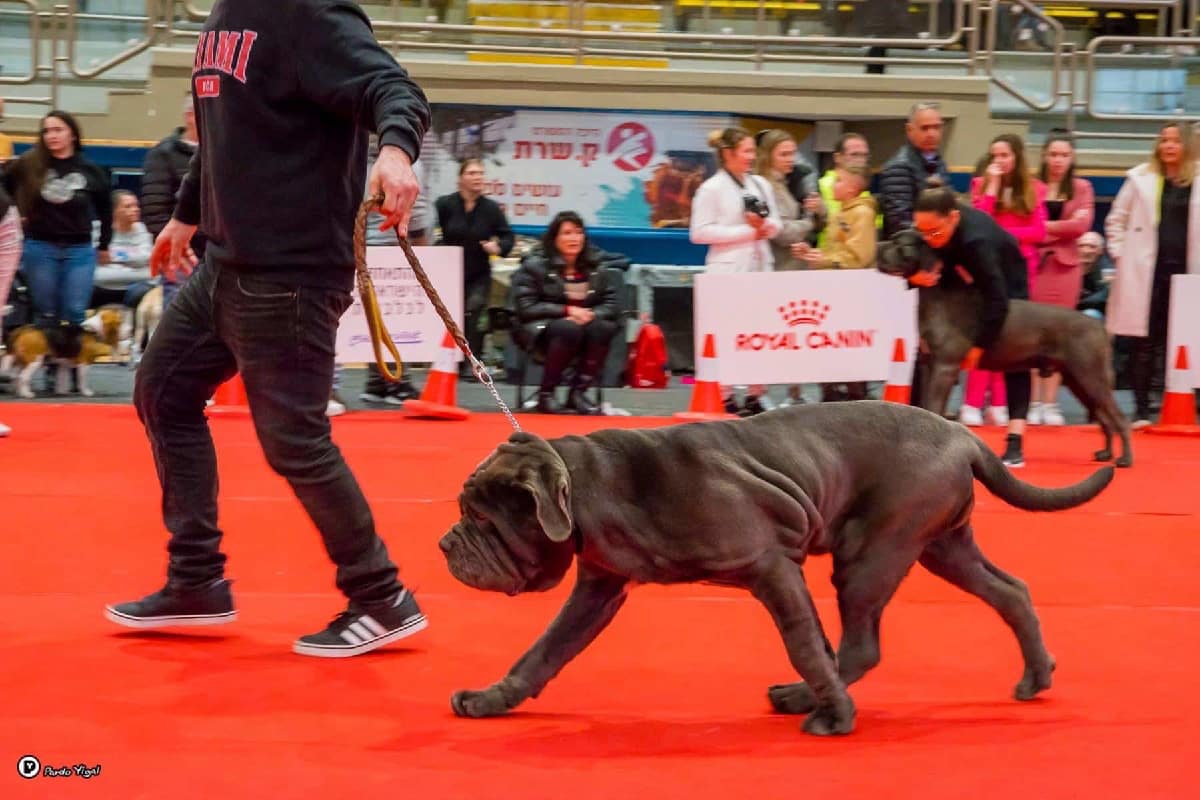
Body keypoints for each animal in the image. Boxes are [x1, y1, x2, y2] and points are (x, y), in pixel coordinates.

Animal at [441, 402, 1113, 734]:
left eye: (480, 515)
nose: (446, 543)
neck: (593, 490)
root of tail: (963, 435)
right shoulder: (598, 589)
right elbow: (544, 651)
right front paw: (492, 699)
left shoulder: (770, 566)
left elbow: (807, 644)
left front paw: (836, 714)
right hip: (941, 544)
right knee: (1009, 590)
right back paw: (1035, 676)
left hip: (874, 550)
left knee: (861, 643)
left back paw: (812, 702)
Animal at [878, 226, 1128, 470]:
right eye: (893, 237)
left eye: (900, 243)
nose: (878, 246)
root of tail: (1098, 325)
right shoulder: (929, 365)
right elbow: (925, 406)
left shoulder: (945, 367)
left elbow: (933, 406)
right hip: (1077, 379)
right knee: (1106, 418)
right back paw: (1105, 454)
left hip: (1091, 376)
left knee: (1119, 419)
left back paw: (1125, 459)